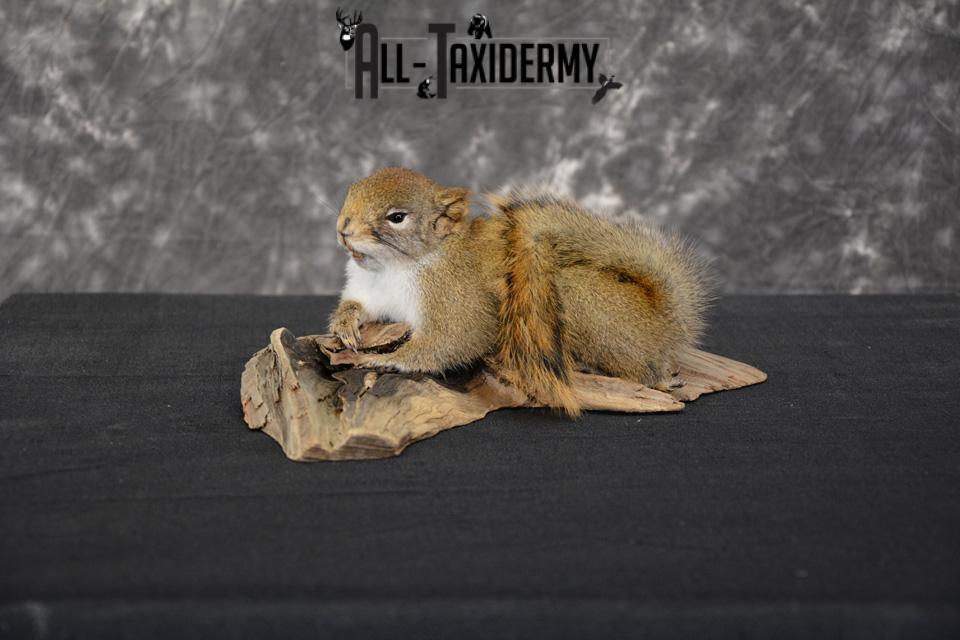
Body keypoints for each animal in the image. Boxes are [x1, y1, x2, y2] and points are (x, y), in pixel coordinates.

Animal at [329, 166, 709, 416]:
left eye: (397, 217)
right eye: (351, 191)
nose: (343, 229)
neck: (392, 268)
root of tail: (664, 320)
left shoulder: (456, 297)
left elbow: (451, 341)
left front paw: (381, 359)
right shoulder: (371, 293)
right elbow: (358, 306)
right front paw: (345, 324)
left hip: (570, 300)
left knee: (643, 370)